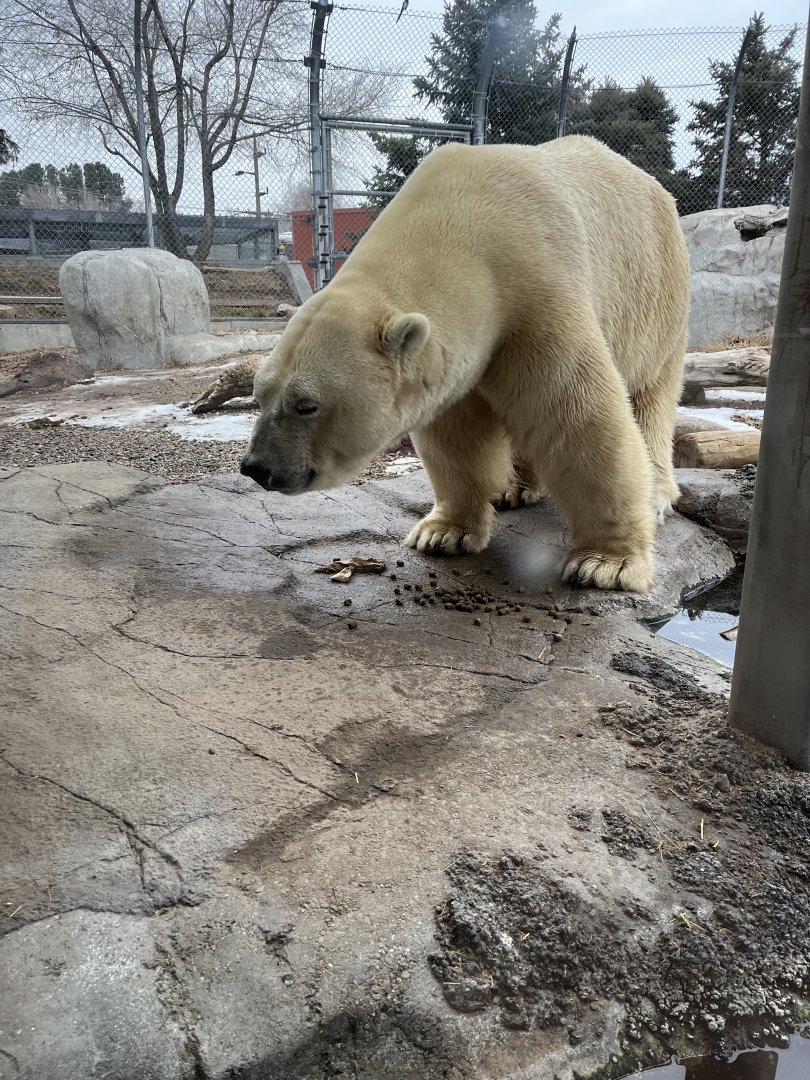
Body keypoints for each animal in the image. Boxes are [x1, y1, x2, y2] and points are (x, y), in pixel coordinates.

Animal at [241, 136, 691, 592]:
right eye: (260, 395)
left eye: (306, 405)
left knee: (650, 397)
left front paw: (606, 563)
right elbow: (457, 438)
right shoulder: (461, 356)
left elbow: (577, 419)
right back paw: (513, 488)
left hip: (656, 295)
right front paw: (443, 533)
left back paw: (656, 494)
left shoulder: (539, 298)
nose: (256, 468)